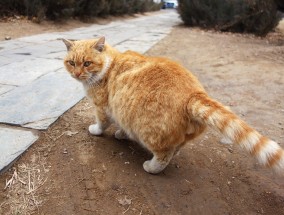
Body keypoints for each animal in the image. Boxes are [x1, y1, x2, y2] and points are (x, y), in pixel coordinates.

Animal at [62, 37, 284, 175]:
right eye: (71, 63)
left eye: (87, 63)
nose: (77, 73)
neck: (109, 64)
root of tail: (193, 94)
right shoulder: (121, 113)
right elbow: (122, 126)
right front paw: (121, 134)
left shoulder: (102, 108)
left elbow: (101, 124)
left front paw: (96, 130)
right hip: (178, 136)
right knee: (175, 149)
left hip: (149, 132)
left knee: (163, 155)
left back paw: (151, 167)